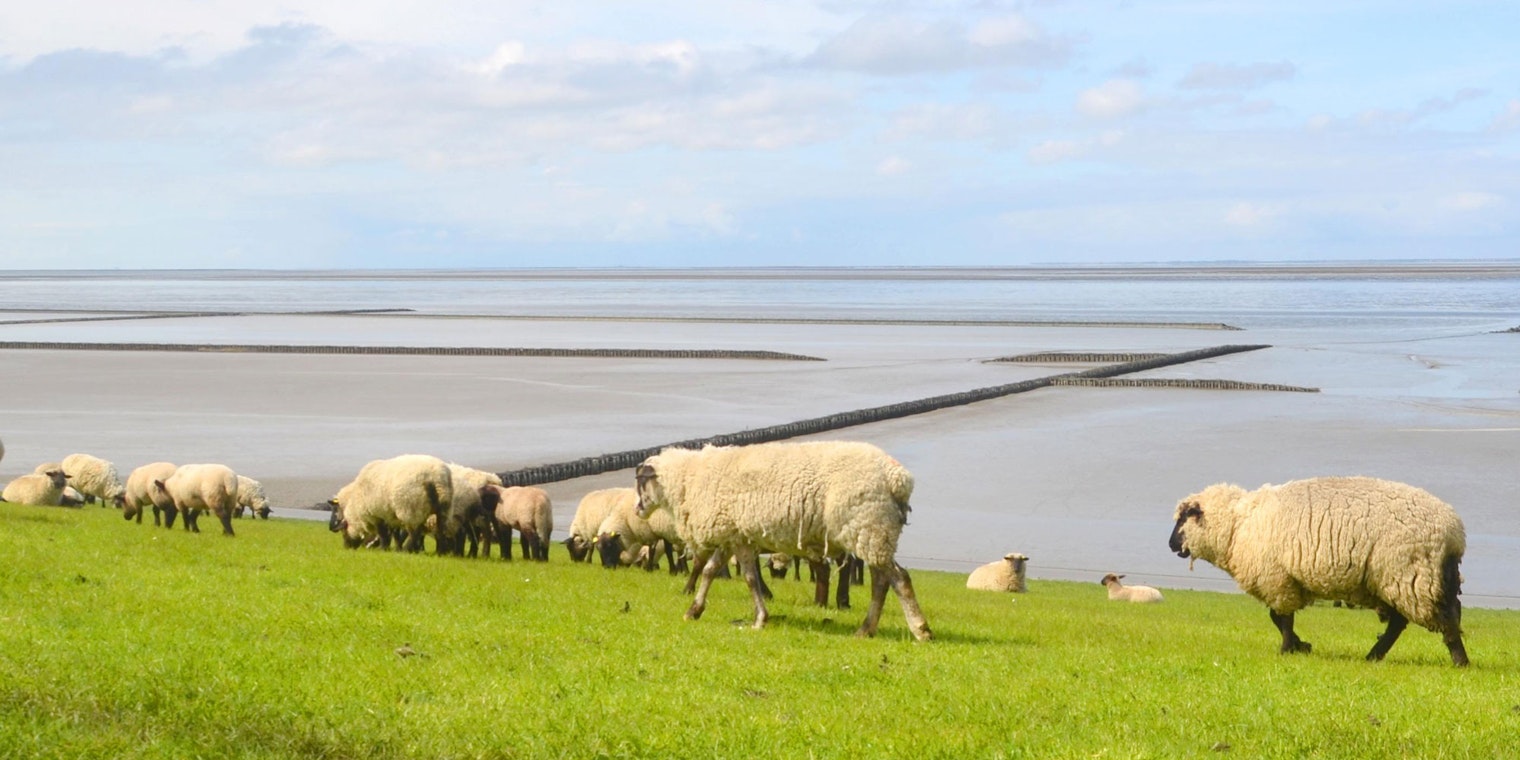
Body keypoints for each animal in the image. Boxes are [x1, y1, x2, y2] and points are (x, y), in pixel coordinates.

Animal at [327, 454, 455, 553]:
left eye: (343, 531)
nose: (347, 547)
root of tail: (436, 477)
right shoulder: (390, 514)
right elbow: (394, 534)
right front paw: (394, 547)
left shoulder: (376, 514)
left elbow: (383, 532)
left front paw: (384, 548)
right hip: (442, 508)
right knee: (440, 528)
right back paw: (441, 551)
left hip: (411, 508)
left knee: (415, 532)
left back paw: (407, 550)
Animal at [634, 441, 933, 641]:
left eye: (641, 483)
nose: (637, 510)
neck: (689, 479)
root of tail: (898, 478)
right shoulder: (734, 534)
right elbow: (711, 572)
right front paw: (694, 610)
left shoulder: (735, 536)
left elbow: (748, 579)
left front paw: (759, 619)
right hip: (872, 531)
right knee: (881, 581)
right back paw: (866, 629)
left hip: (868, 526)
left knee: (899, 578)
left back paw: (920, 629)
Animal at [1168, 476, 1469, 666]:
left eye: (1183, 518)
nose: (1170, 545)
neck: (1238, 525)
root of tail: (1454, 531)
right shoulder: (1285, 580)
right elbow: (1278, 619)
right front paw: (1301, 646)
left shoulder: (1277, 578)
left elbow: (1282, 619)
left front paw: (1288, 648)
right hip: (1402, 578)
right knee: (1403, 622)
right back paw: (1375, 655)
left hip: (1411, 574)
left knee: (1444, 617)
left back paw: (1459, 660)